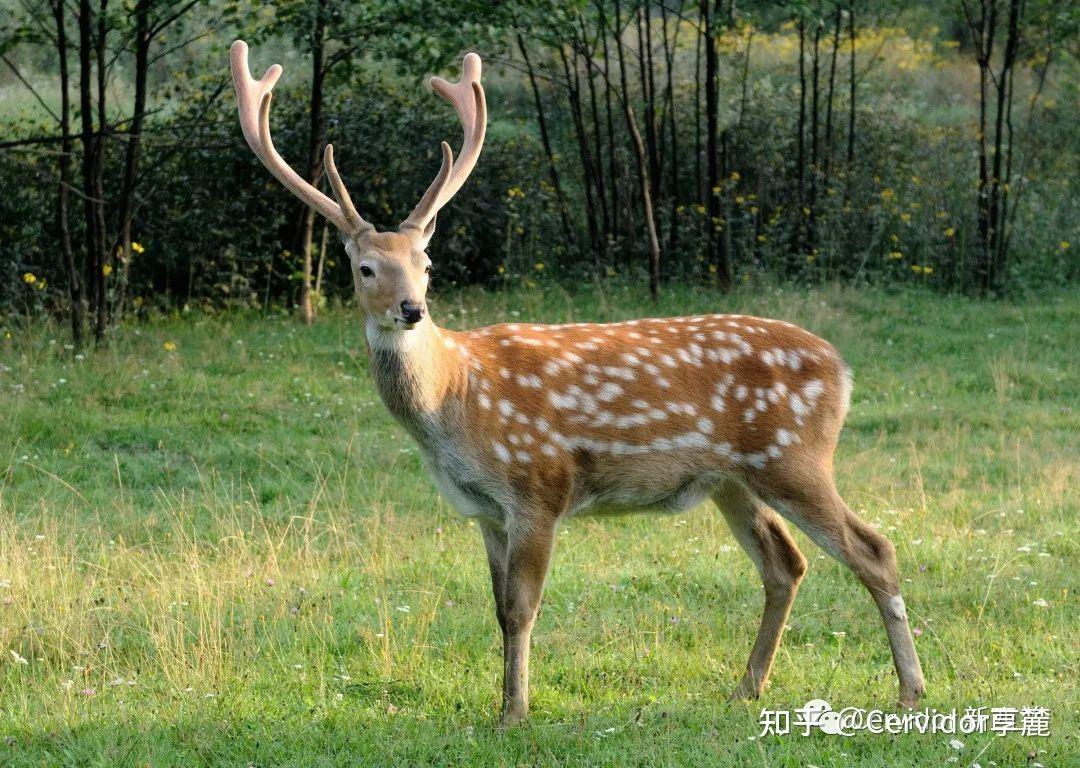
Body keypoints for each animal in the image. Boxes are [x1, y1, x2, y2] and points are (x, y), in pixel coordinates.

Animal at [230, 42, 928, 725]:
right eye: (366, 267)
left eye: (426, 264)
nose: (411, 309)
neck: (454, 400)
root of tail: (842, 368)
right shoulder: (484, 511)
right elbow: (497, 608)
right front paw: (505, 704)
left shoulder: (538, 486)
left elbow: (521, 608)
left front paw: (514, 714)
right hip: (733, 479)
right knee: (785, 564)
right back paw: (747, 688)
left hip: (793, 456)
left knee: (874, 549)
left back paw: (910, 691)